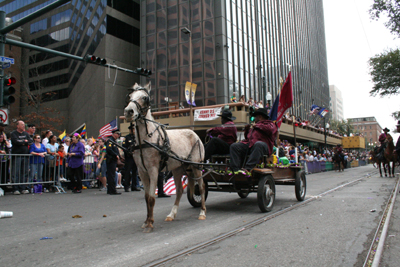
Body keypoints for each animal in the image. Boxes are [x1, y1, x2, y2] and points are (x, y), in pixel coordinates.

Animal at [124, 82, 206, 233]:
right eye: (130, 96)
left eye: (144, 97)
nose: (128, 112)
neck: (147, 139)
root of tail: (195, 134)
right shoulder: (142, 172)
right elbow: (146, 197)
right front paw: (146, 221)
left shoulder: (153, 170)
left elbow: (151, 198)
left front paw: (150, 223)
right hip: (178, 169)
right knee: (179, 191)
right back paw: (172, 214)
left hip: (196, 166)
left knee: (202, 187)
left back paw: (202, 212)